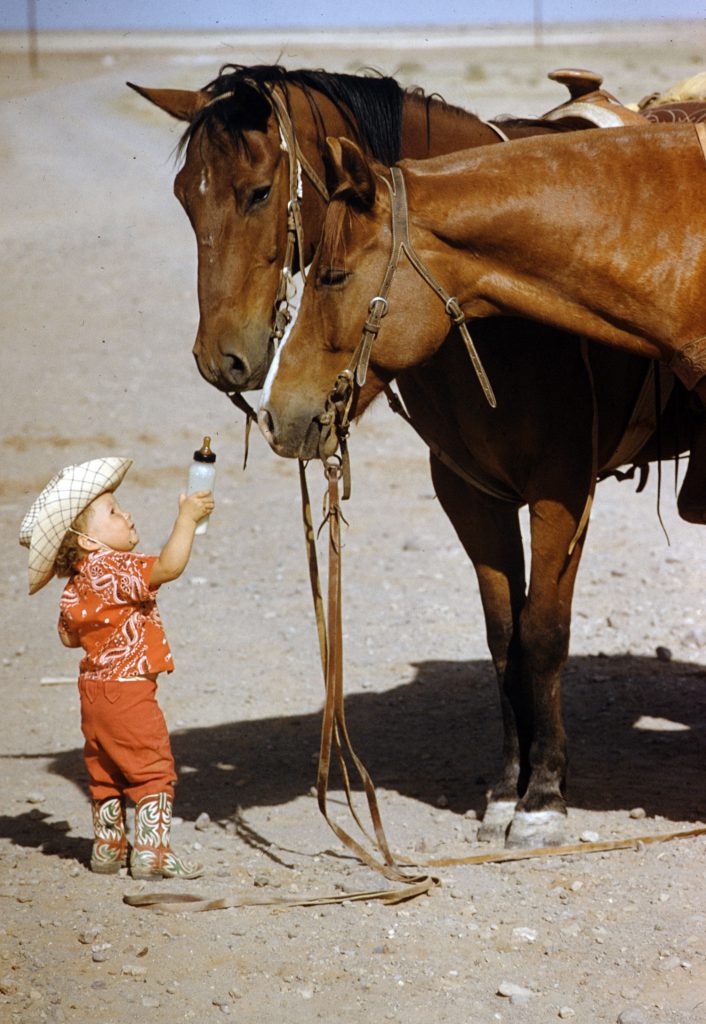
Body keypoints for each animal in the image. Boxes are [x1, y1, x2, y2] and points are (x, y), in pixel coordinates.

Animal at [132, 66, 700, 847]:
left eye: (259, 191)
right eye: (187, 196)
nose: (222, 359)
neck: (501, 324)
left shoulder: (562, 491)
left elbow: (545, 634)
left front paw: (545, 797)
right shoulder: (470, 492)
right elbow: (504, 636)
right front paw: (506, 789)